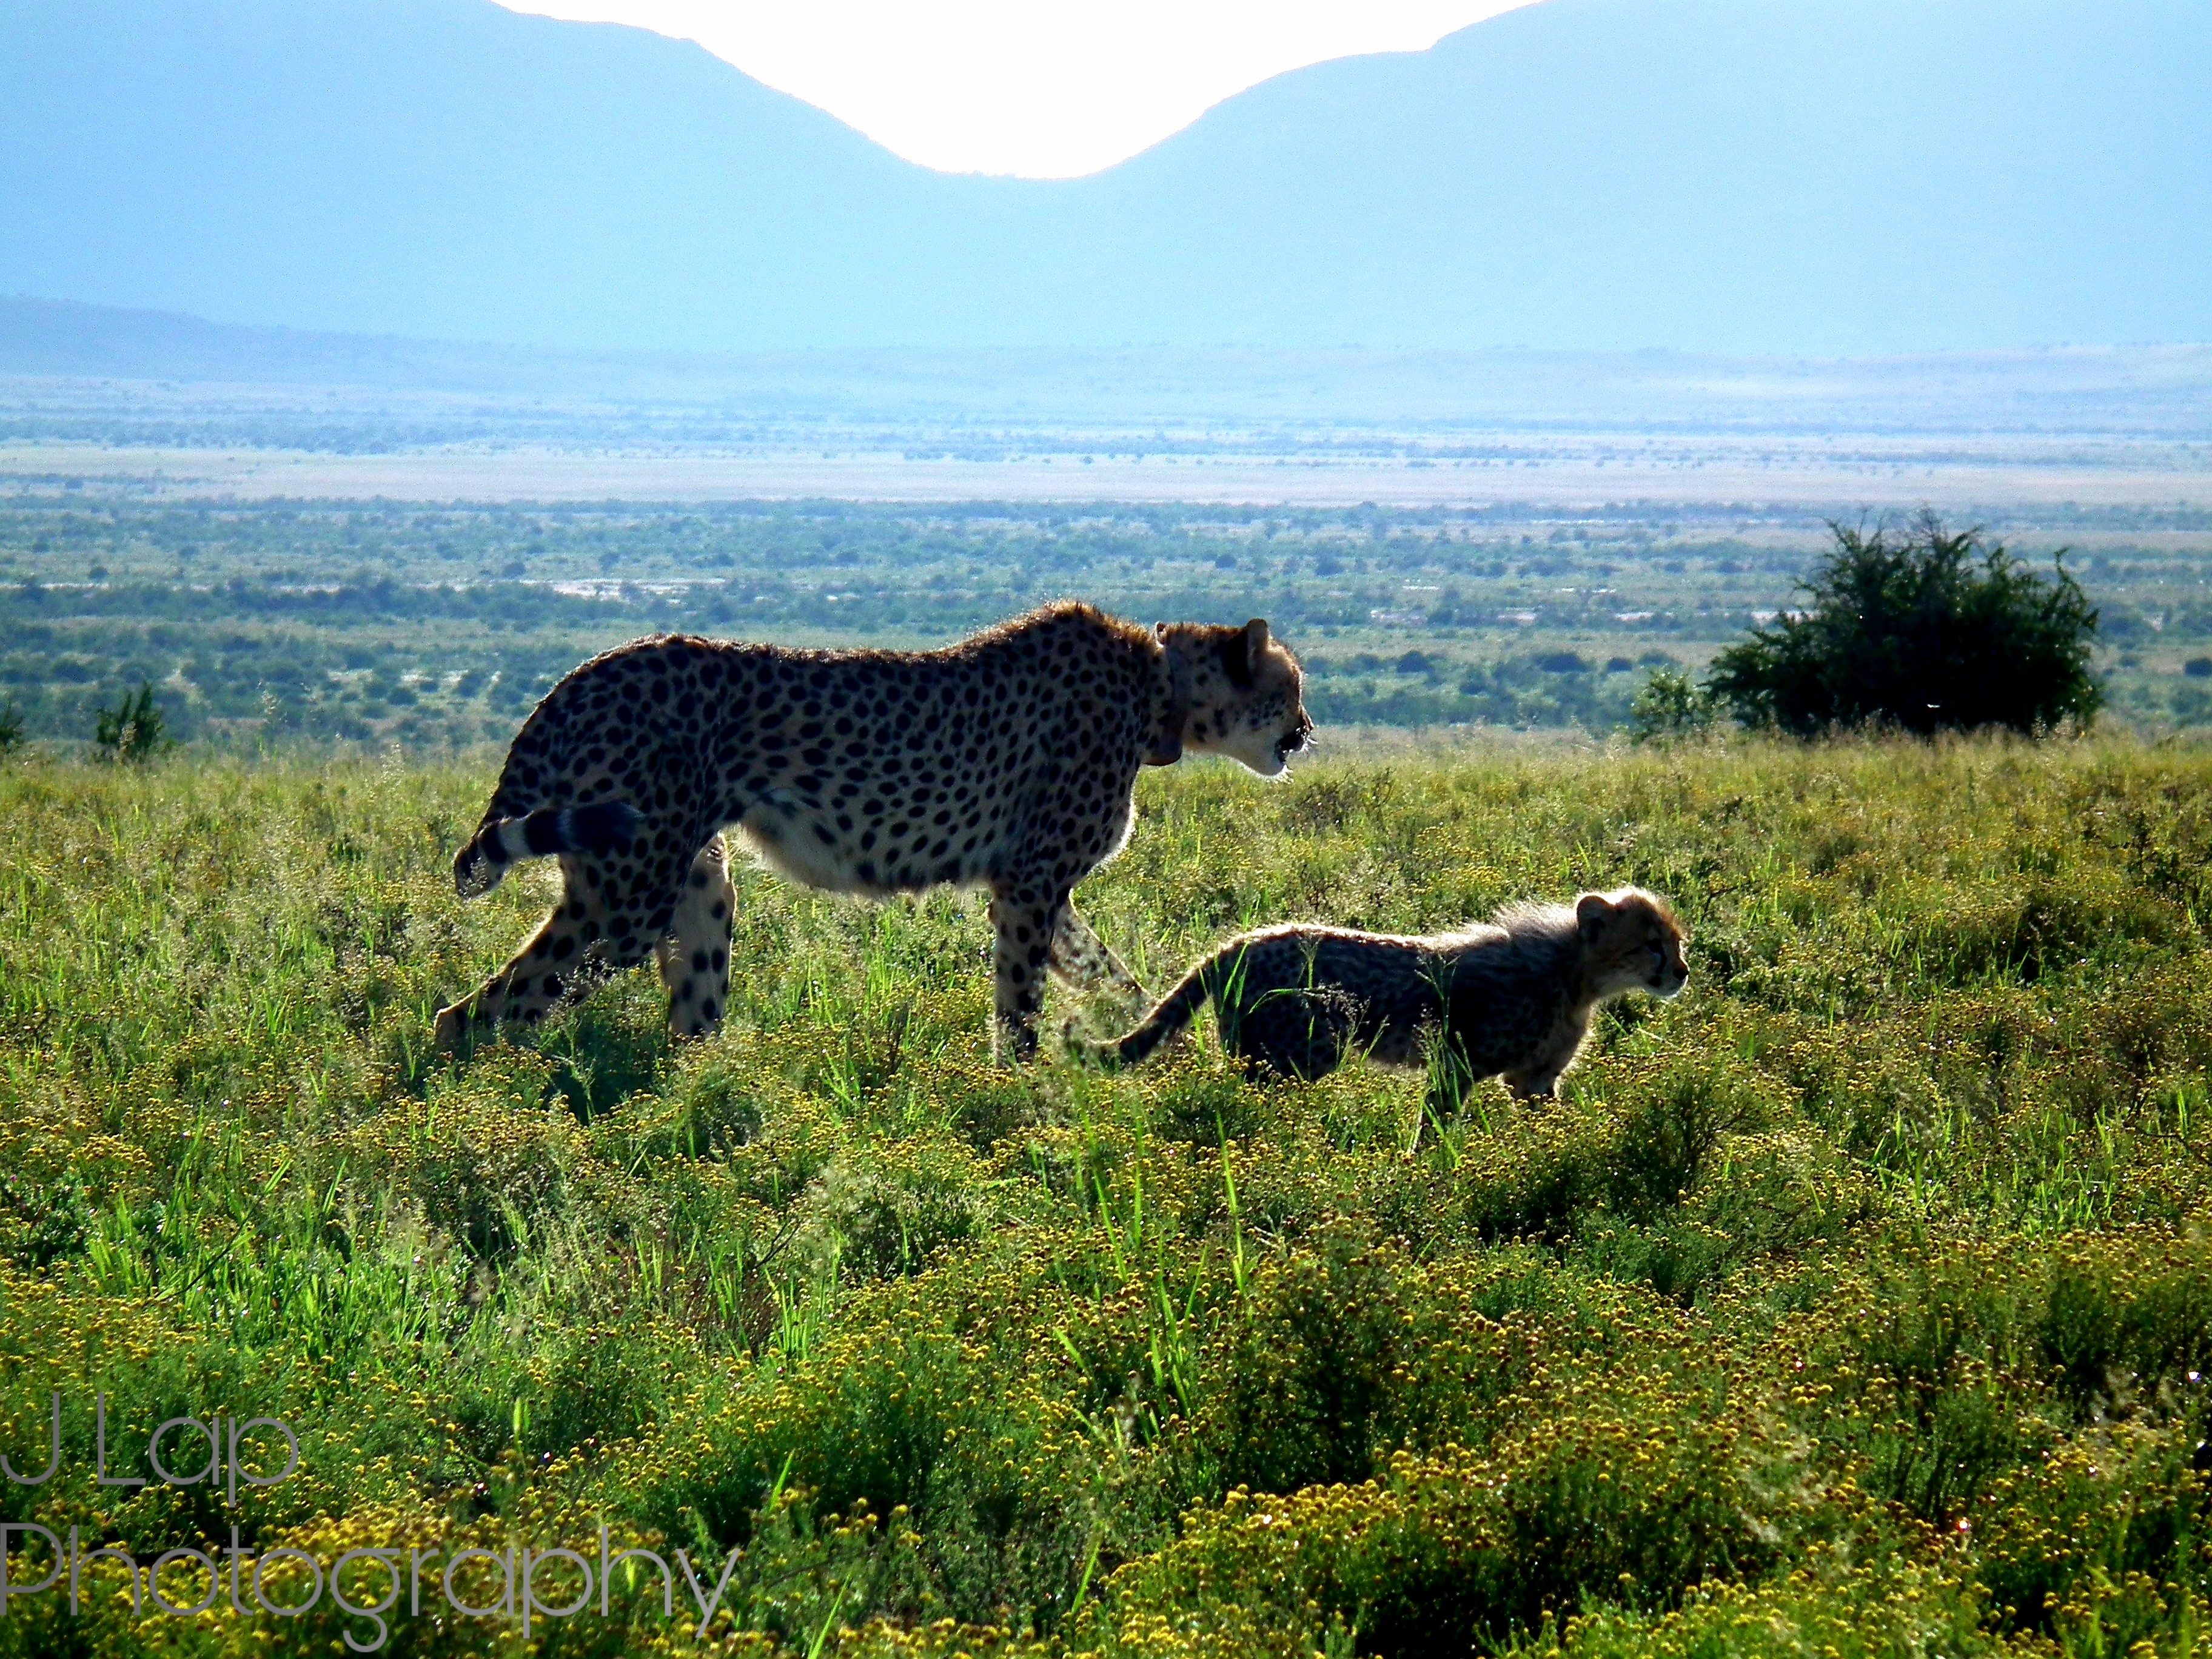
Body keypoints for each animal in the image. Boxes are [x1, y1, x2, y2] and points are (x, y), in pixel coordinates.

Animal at [433, 603, 1312, 1059]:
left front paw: (1154, 1041)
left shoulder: (1034, 887)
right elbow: (1020, 1001)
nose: (1306, 732)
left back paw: (714, 1114)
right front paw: (1022, 1087)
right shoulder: (1030, 884)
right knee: (477, 1015)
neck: (1159, 686)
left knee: (692, 1012)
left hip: (695, 884)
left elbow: (1108, 972)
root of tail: (583, 673)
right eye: (1293, 686)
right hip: (629, 897)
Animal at [1067, 885, 1688, 1103]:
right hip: (1292, 1059)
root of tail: (1239, 942)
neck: (1574, 974)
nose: (1681, 972)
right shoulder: (1457, 1066)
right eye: (1652, 945)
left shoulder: (1534, 1080)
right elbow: (1434, 1128)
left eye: (1677, 942)